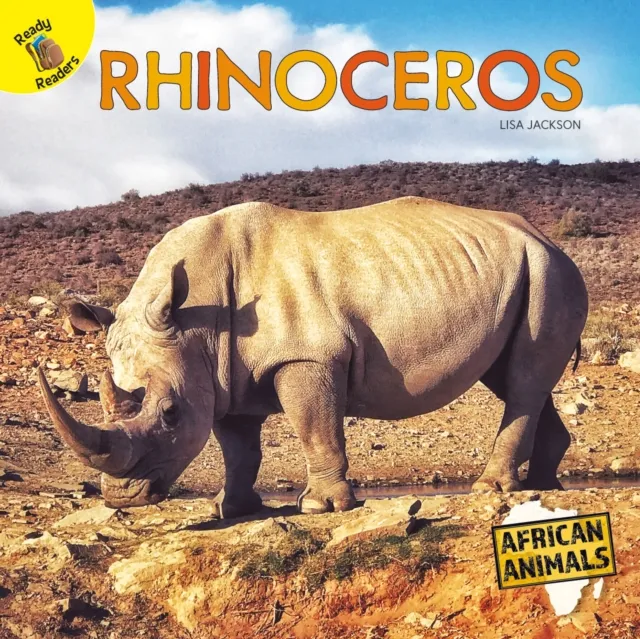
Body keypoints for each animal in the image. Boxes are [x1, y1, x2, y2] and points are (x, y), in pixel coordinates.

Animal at [39, 197, 588, 516]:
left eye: (170, 414)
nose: (121, 497)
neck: (195, 321)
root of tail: (546, 238)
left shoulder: (307, 357)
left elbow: (314, 426)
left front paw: (321, 508)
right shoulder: (219, 375)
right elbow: (238, 445)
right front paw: (229, 509)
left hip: (550, 272)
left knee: (524, 378)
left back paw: (491, 490)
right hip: (527, 272)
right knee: (515, 377)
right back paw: (545, 486)